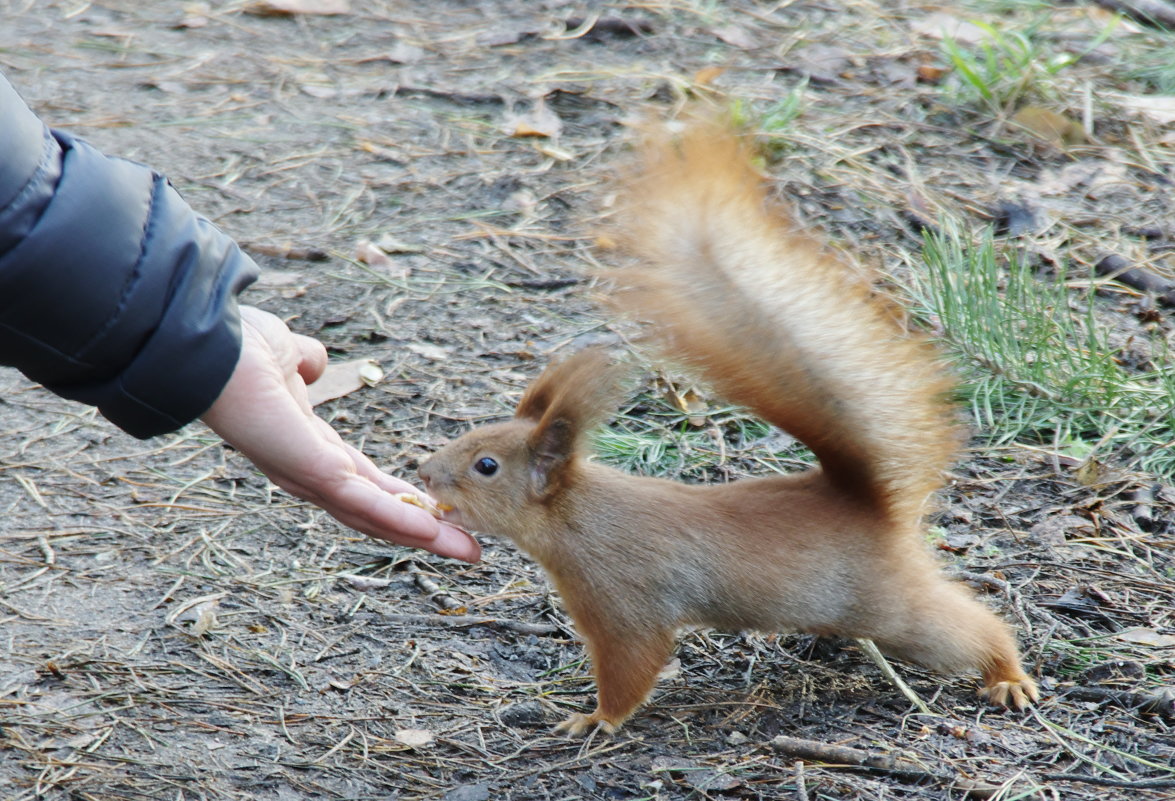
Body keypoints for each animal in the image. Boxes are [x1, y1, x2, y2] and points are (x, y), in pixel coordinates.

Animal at [418, 118, 1043, 728]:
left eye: (486, 466)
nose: (424, 474)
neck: (576, 516)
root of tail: (867, 502)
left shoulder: (624, 598)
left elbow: (633, 662)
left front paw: (596, 721)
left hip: (892, 607)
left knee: (965, 628)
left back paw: (1008, 676)